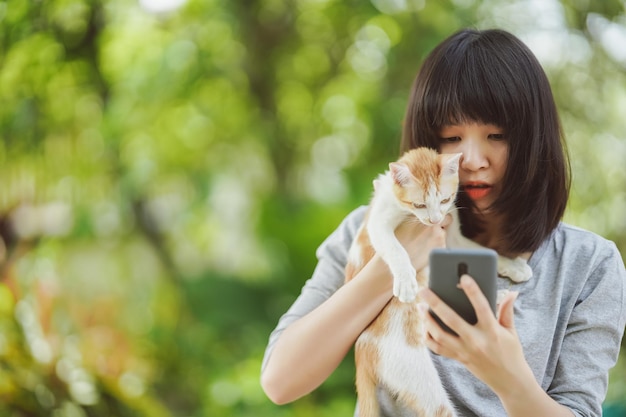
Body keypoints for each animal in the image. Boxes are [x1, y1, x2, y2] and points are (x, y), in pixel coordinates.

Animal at [344, 147, 528, 416]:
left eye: (443, 200)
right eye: (419, 204)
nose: (433, 220)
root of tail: (362, 350)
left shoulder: (451, 228)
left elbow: (478, 248)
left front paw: (513, 265)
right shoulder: (378, 221)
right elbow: (395, 249)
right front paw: (406, 280)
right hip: (413, 371)